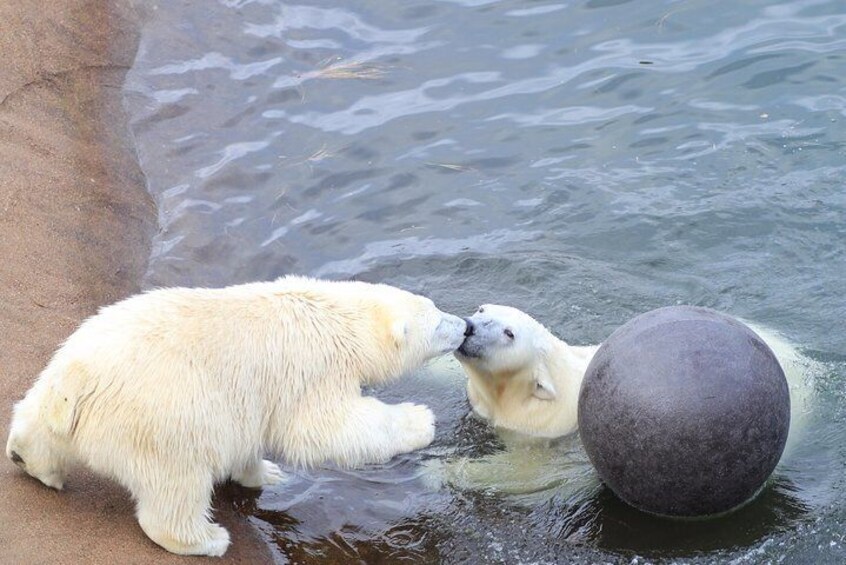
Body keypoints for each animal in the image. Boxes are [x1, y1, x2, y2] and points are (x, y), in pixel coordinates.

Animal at [6, 276, 468, 556]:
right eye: (437, 321)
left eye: (436, 307)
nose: (465, 325)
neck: (332, 314)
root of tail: (78, 382)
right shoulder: (310, 369)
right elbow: (323, 429)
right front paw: (421, 421)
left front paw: (266, 472)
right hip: (166, 418)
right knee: (175, 487)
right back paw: (207, 539)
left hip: (63, 382)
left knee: (35, 426)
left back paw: (29, 460)